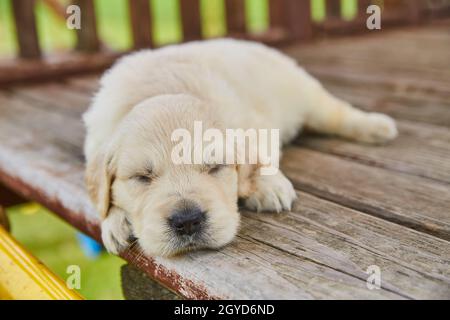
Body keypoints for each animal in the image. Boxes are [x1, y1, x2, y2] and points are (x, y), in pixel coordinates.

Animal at [84, 38, 398, 258]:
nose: (188, 221)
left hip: (305, 95)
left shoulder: (253, 122)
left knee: (338, 113)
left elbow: (259, 153)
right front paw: (115, 222)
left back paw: (378, 127)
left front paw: (269, 186)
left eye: (215, 167)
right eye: (142, 177)